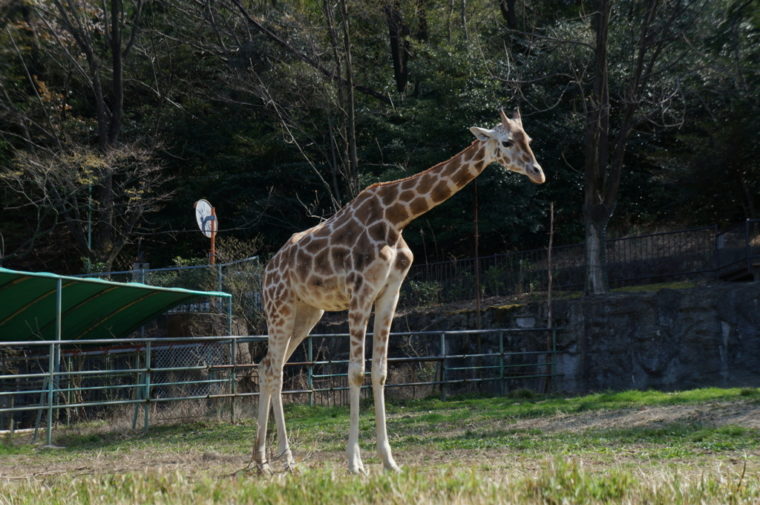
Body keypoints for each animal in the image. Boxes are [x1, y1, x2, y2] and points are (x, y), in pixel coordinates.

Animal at [255, 109, 548, 472]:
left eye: (529, 139)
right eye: (506, 142)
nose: (538, 173)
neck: (397, 217)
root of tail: (268, 270)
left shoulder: (389, 293)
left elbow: (380, 373)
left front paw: (389, 461)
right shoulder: (359, 294)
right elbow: (355, 373)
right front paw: (355, 463)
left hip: (307, 312)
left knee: (269, 367)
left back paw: (262, 461)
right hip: (279, 307)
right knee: (274, 371)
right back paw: (284, 461)